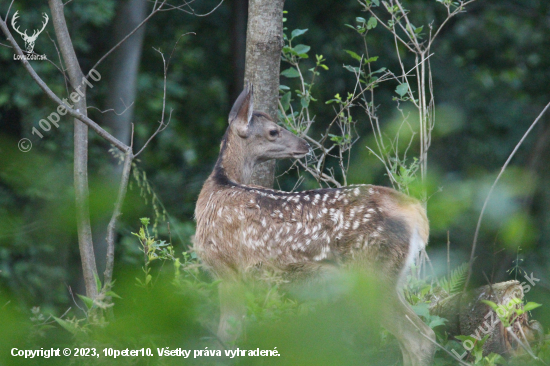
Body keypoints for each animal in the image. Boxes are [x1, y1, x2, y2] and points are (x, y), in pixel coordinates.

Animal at [196, 85, 438, 366]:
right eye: (273, 131)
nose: (305, 145)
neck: (219, 185)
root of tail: (416, 213)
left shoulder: (227, 269)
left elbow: (226, 337)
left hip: (371, 273)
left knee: (418, 338)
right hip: (390, 277)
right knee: (418, 336)